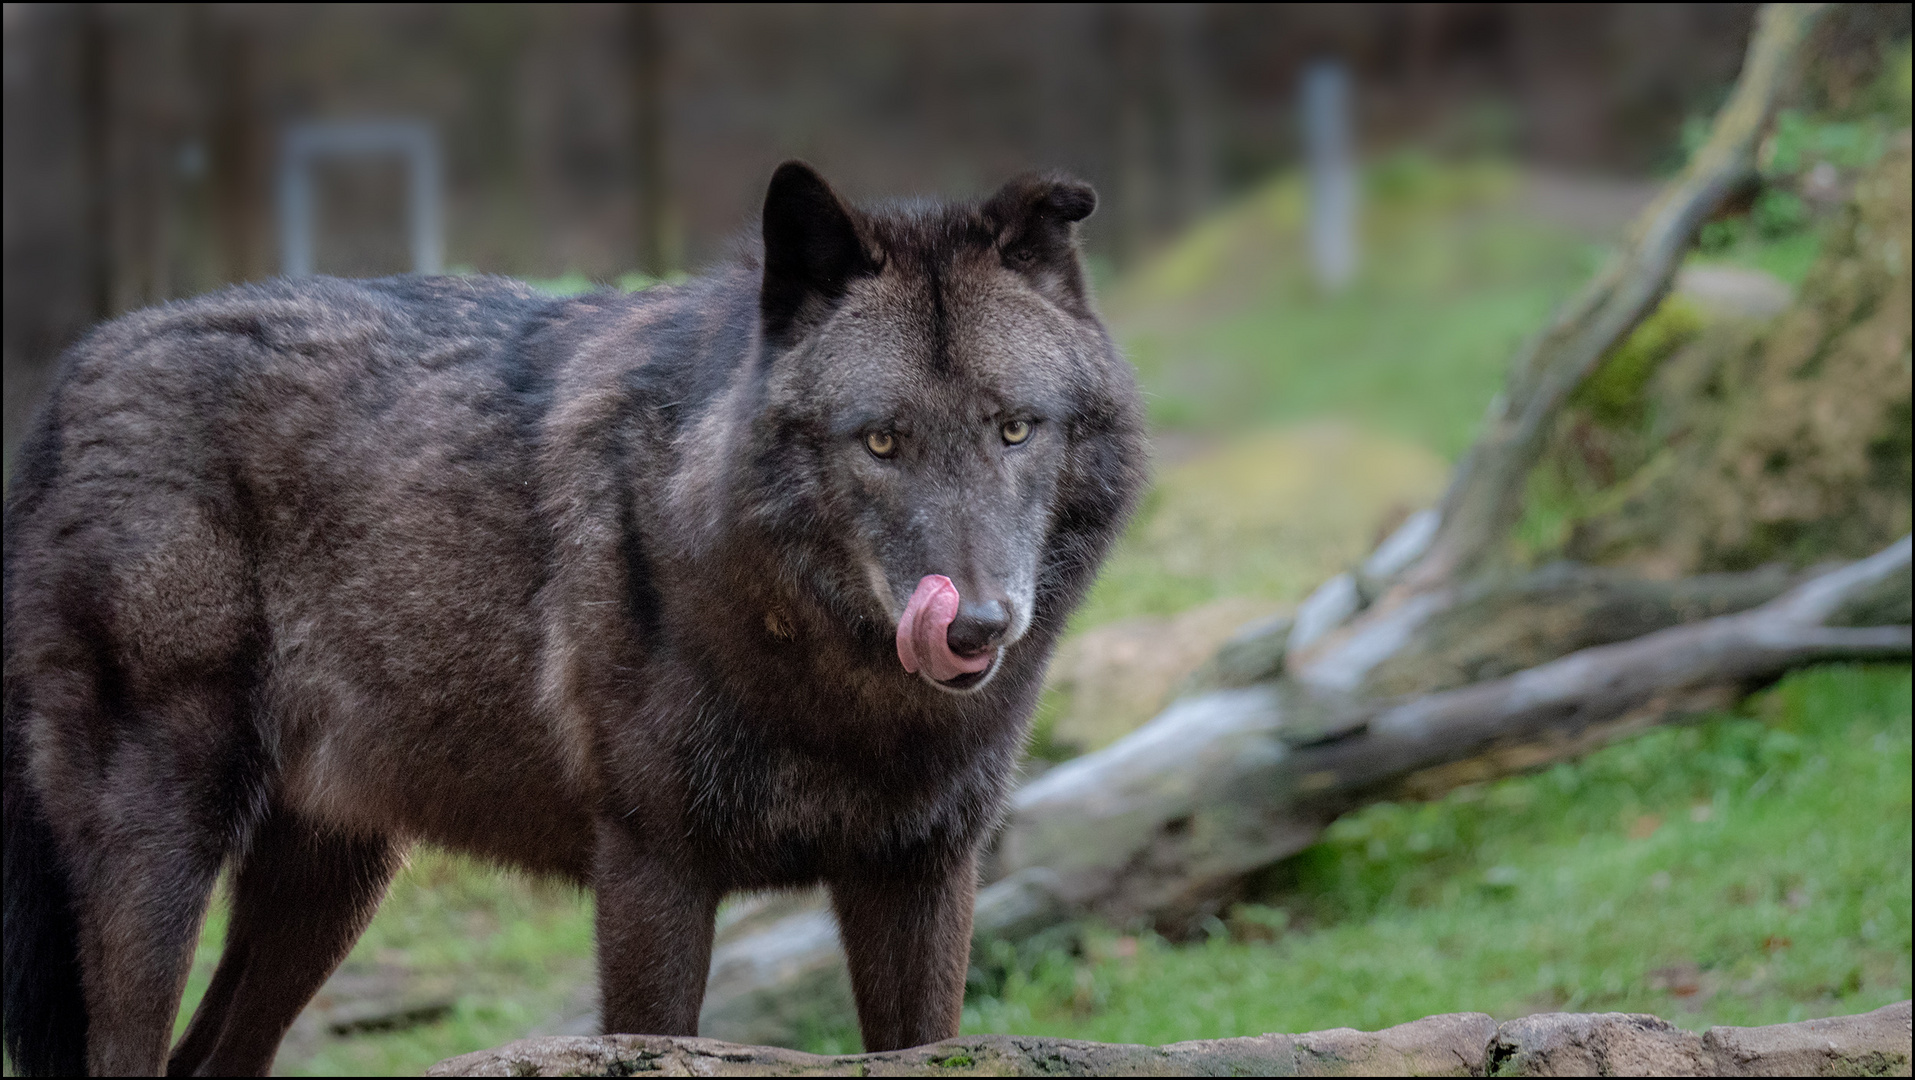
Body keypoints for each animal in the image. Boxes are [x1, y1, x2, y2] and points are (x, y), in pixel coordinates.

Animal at [3, 164, 1133, 1072]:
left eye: (1015, 429)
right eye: (882, 442)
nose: (975, 626)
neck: (844, 701)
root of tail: (70, 375)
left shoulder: (923, 877)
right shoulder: (650, 872)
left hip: (329, 889)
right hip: (165, 855)